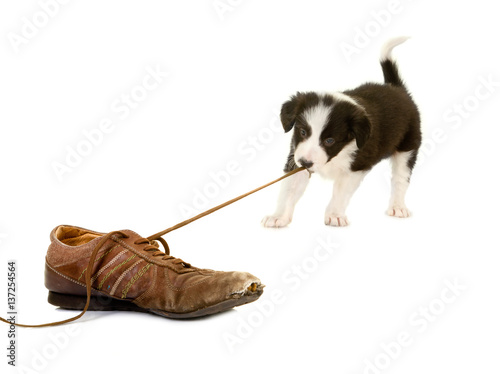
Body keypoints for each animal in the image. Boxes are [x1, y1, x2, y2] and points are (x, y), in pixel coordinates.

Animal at [262, 35, 422, 228]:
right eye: (303, 132)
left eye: (330, 141)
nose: (306, 163)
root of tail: (395, 87)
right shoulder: (295, 159)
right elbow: (289, 191)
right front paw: (278, 216)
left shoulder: (356, 166)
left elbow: (340, 192)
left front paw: (335, 215)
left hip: (408, 146)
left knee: (400, 178)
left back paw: (398, 207)